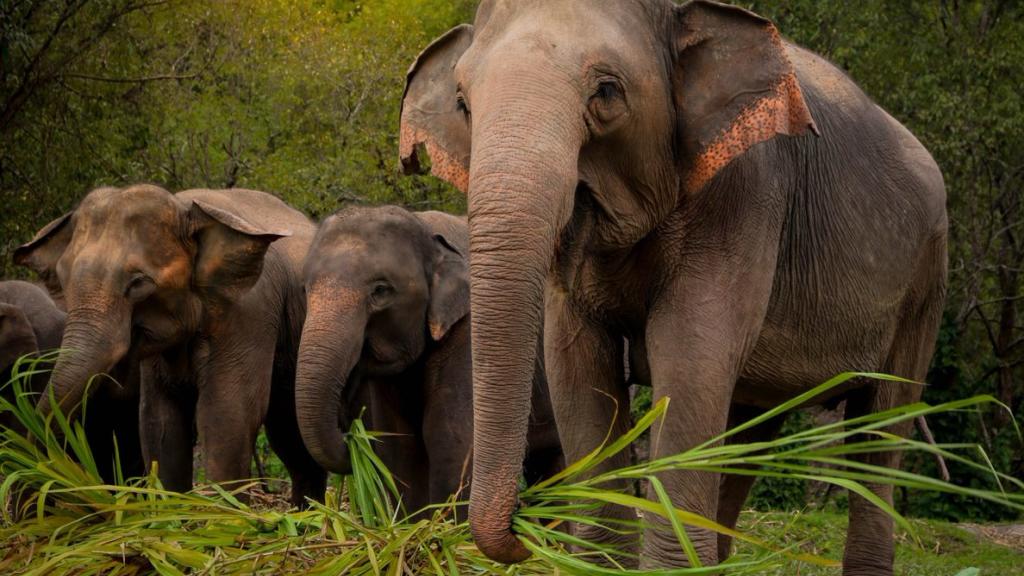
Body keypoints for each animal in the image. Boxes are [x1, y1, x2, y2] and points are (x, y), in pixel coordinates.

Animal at [14, 183, 325, 502]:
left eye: (138, 283)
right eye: (63, 279)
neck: (185, 208)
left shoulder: (249, 312)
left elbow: (228, 414)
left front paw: (222, 513)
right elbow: (158, 421)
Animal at [292, 206, 565, 516]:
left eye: (381, 290)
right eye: (304, 289)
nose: (351, 438)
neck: (424, 226)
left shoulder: (470, 332)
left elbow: (450, 437)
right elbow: (398, 444)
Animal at [397, 2, 942, 569]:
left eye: (607, 91)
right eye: (462, 103)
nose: (524, 529)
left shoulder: (745, 190)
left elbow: (690, 356)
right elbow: (576, 363)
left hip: (926, 281)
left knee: (882, 426)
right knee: (749, 430)